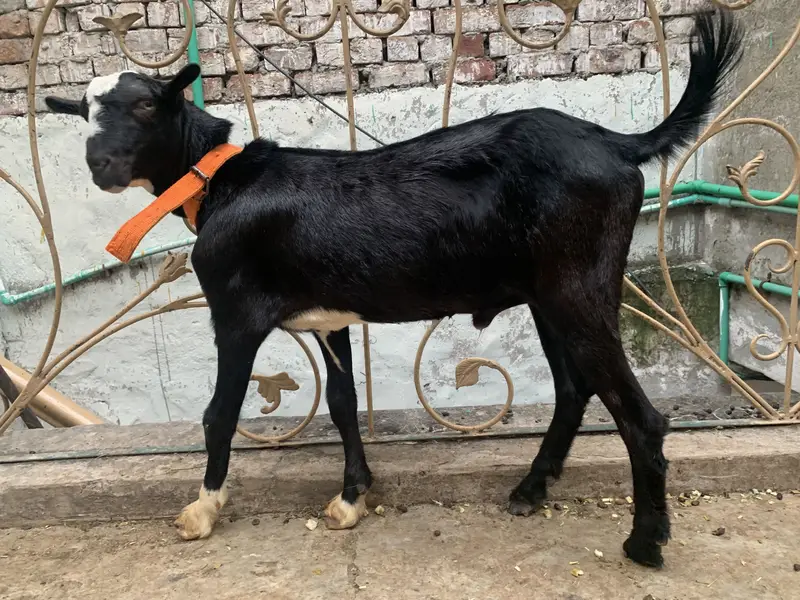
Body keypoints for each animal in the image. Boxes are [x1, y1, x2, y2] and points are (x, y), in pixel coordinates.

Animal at [45, 10, 742, 568]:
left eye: (146, 105)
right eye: (84, 113)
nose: (100, 166)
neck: (218, 180)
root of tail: (616, 142)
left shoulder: (235, 313)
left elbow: (220, 414)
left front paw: (202, 511)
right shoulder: (330, 319)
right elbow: (344, 404)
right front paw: (351, 498)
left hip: (580, 285)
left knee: (638, 414)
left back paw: (645, 542)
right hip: (550, 294)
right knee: (574, 390)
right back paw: (530, 490)